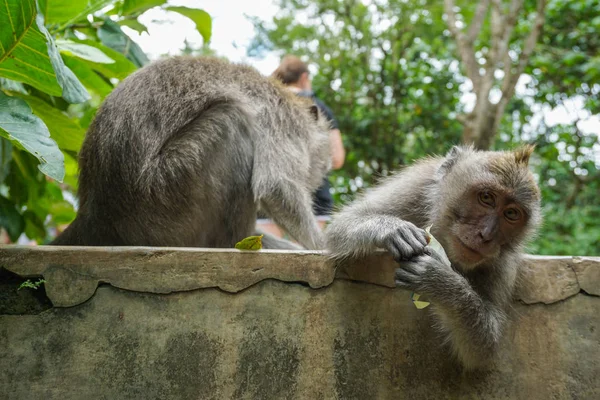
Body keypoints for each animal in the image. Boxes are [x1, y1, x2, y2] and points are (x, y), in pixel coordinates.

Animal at [52, 57, 330, 248]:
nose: (320, 178)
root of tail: (93, 215)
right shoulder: (283, 122)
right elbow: (276, 186)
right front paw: (323, 246)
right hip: (165, 200)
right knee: (232, 119)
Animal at [326, 145, 540, 368]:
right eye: (487, 198)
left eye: (511, 214)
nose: (486, 235)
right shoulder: (417, 186)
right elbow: (340, 226)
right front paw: (393, 229)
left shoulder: (503, 265)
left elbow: (482, 348)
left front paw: (440, 281)